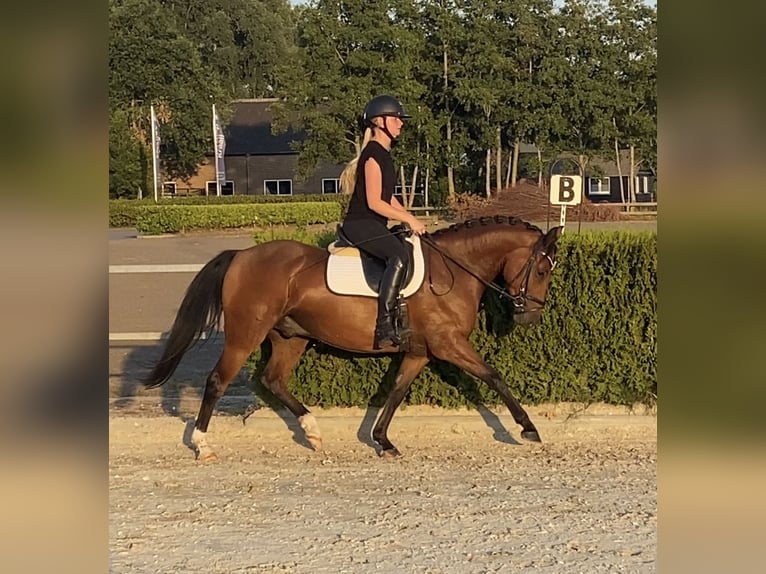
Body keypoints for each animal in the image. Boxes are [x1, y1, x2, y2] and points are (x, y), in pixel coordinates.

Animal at [143, 216, 563, 461]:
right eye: (542, 270)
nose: (530, 316)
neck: (452, 271)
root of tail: (242, 255)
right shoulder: (449, 345)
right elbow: (493, 375)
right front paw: (528, 428)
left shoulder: (420, 352)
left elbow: (396, 390)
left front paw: (383, 440)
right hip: (246, 335)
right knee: (218, 380)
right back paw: (203, 444)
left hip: (290, 337)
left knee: (272, 379)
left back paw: (312, 431)